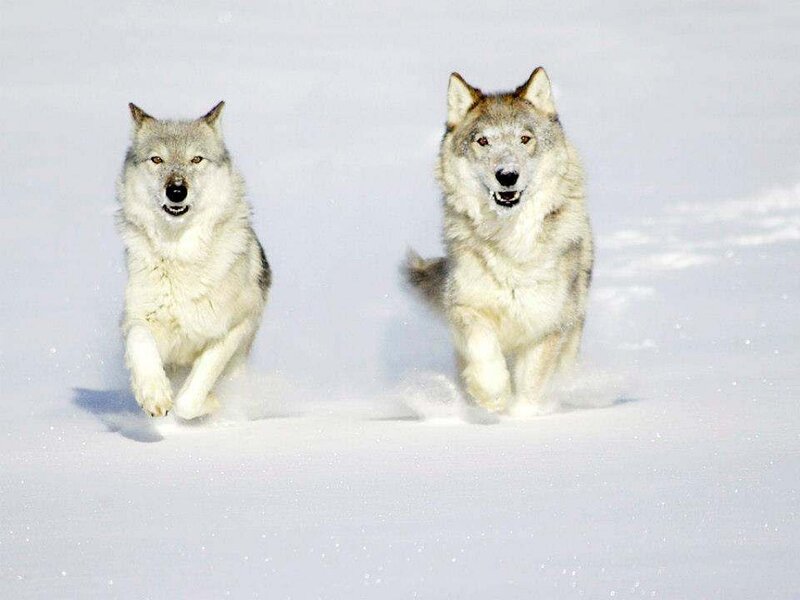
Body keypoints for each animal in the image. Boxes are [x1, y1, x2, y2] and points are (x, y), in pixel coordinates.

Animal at [117, 101, 270, 420]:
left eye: (196, 159)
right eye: (157, 159)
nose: (176, 190)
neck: (180, 254)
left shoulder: (235, 326)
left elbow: (191, 397)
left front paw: (210, 403)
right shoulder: (135, 319)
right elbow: (140, 341)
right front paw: (154, 394)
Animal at [405, 68, 593, 415]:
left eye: (524, 139)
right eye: (483, 141)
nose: (507, 175)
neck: (510, 246)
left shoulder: (545, 325)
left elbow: (531, 387)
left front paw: (521, 416)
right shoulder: (467, 308)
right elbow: (484, 352)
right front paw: (491, 396)